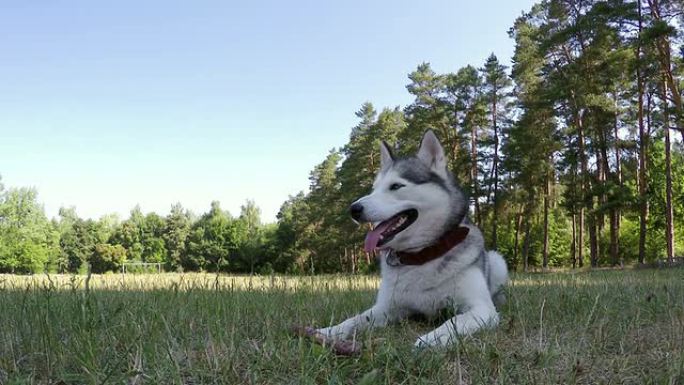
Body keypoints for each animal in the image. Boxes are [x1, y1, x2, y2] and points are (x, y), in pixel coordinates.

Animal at [316, 130, 508, 348]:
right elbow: (354, 319)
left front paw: (432, 339)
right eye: (374, 189)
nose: (353, 209)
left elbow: (454, 321)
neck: (422, 255)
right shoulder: (385, 309)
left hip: (497, 261)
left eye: (396, 186)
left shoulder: (481, 309)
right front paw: (329, 331)